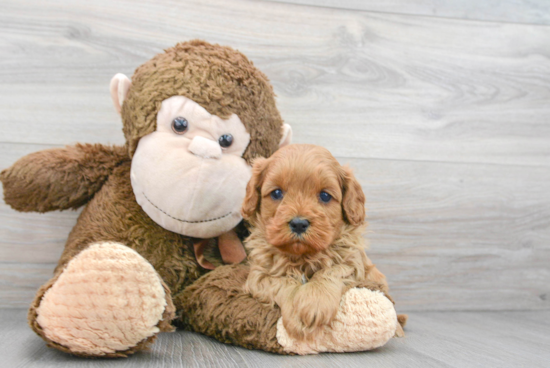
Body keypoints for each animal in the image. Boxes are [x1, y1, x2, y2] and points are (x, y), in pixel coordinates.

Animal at [244, 144, 408, 342]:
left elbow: (330, 272)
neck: (303, 256)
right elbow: (283, 282)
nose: (298, 224)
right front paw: (297, 313)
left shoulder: (351, 263)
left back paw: (398, 330)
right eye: (276, 193)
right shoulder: (258, 275)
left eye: (324, 196)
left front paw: (315, 302)